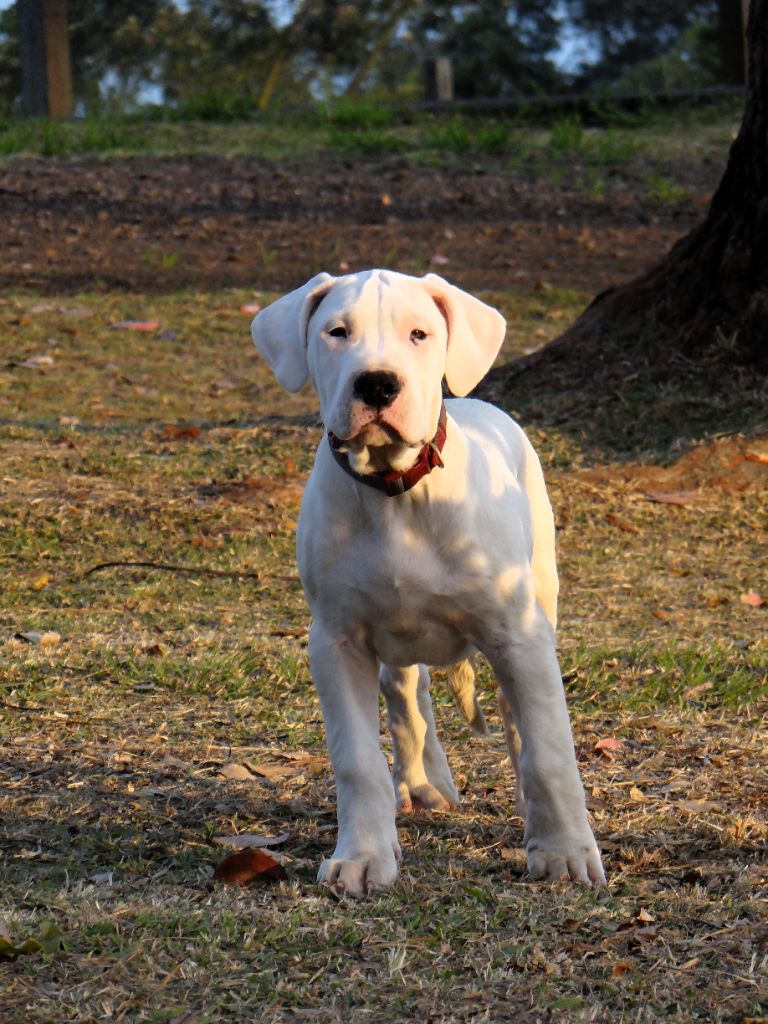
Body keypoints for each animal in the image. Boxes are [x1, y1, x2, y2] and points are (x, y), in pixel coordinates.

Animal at [256, 270, 606, 897]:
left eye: (419, 334)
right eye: (336, 332)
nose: (376, 384)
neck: (395, 490)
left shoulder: (519, 636)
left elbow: (549, 751)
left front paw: (565, 853)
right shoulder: (336, 642)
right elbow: (357, 759)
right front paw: (363, 855)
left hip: (536, 605)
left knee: (516, 717)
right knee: (406, 692)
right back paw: (422, 782)